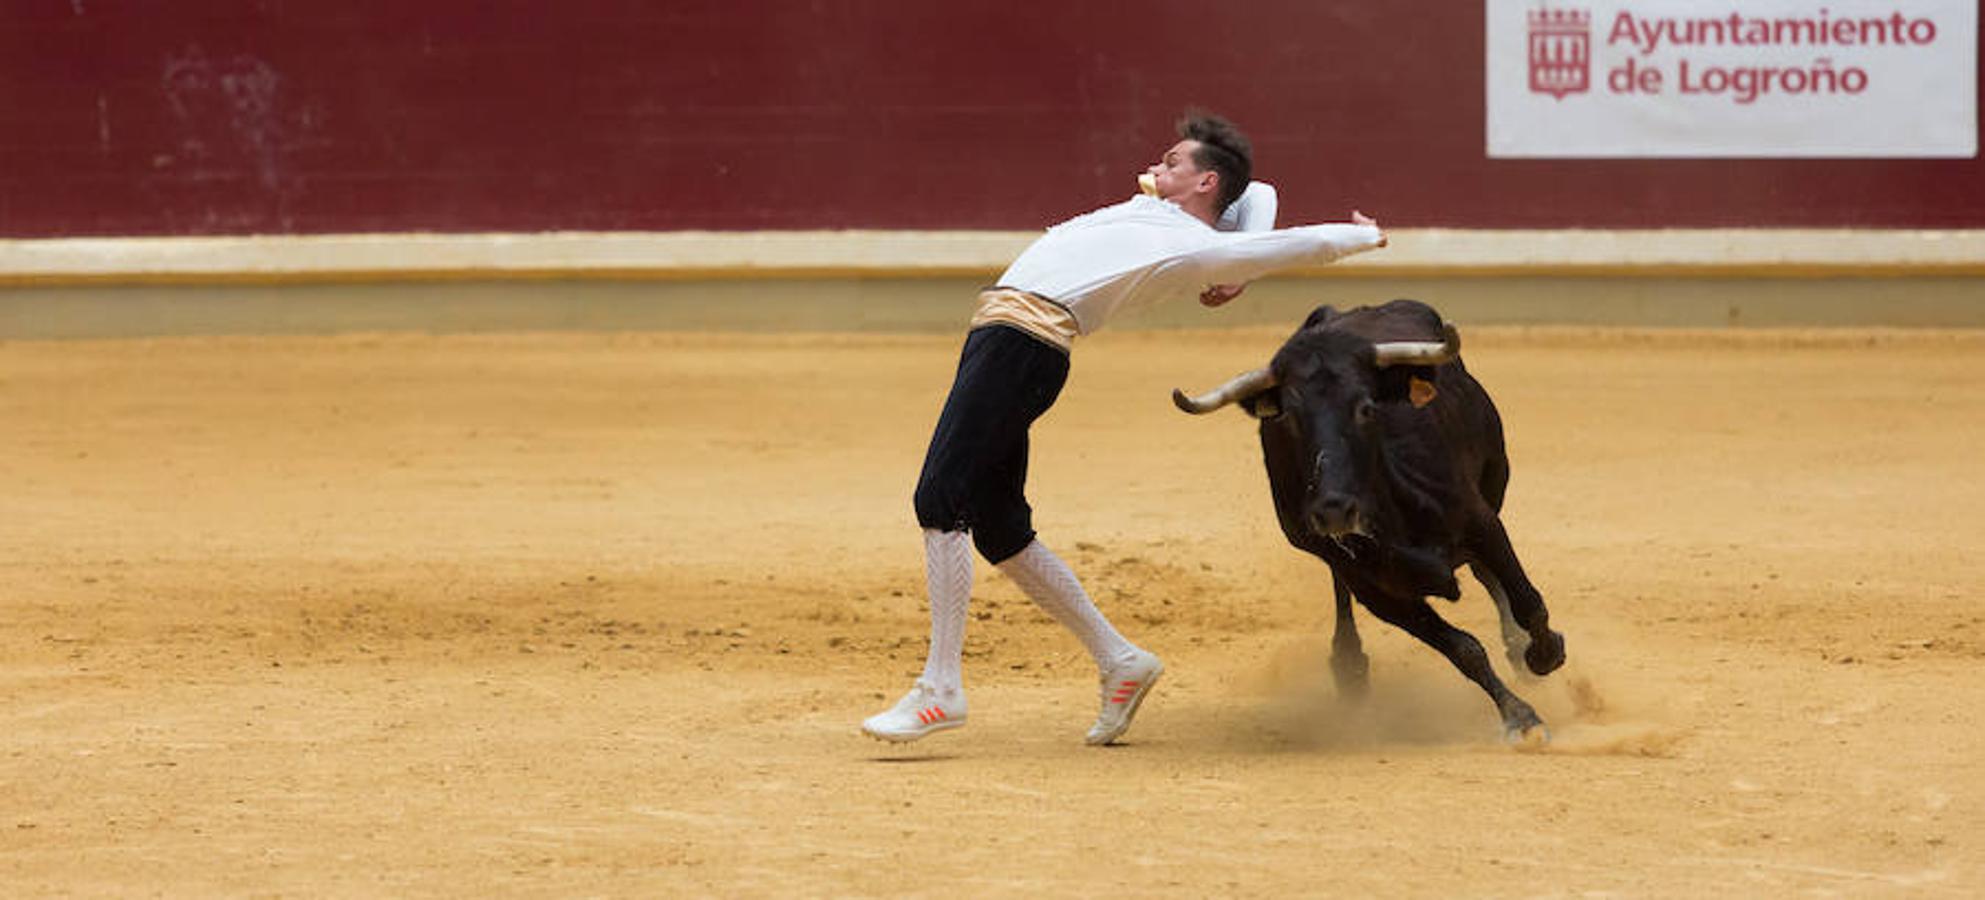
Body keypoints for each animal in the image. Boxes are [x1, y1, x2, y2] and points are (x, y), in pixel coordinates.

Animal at [1175, 298, 1564, 739]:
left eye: (1365, 408)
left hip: (1494, 483)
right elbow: (1463, 649)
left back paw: (1517, 647)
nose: (1333, 508)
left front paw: (1544, 655)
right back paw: (1350, 668)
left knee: (1488, 575)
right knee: (1342, 589)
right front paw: (1521, 717)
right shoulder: (1377, 590)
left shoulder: (1480, 522)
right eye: (1290, 417)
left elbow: (1527, 601)